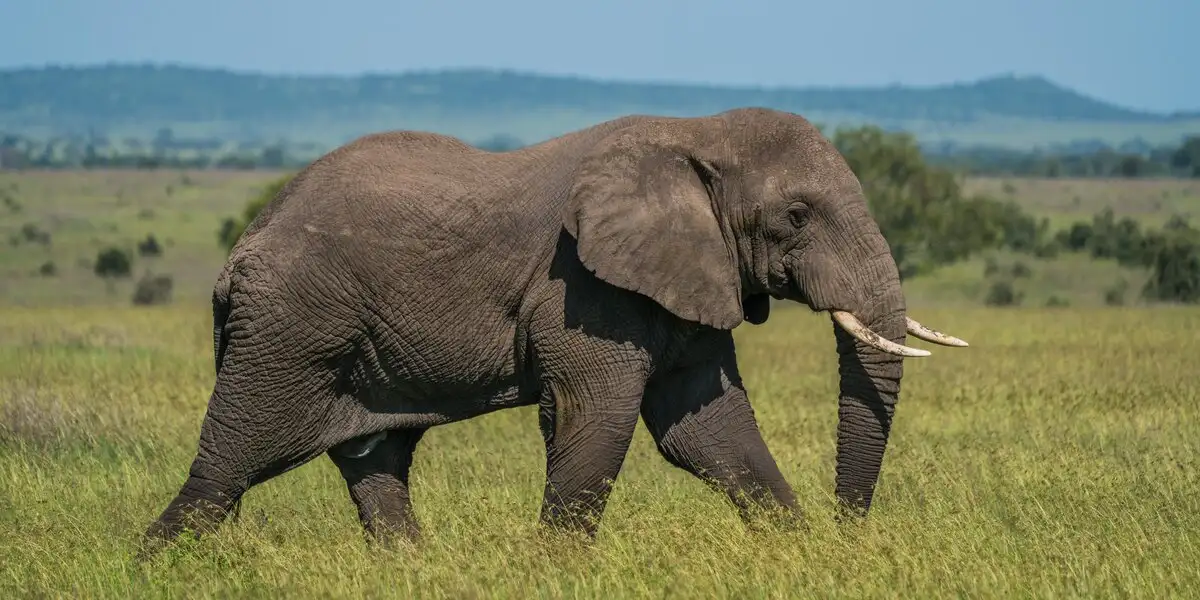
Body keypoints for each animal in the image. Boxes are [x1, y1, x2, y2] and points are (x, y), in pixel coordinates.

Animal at [138, 107, 967, 558]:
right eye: (796, 215)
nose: (849, 533)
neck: (692, 132)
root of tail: (239, 253)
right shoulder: (585, 288)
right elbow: (595, 418)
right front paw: (557, 570)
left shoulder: (688, 280)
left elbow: (708, 428)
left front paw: (800, 558)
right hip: (289, 328)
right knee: (228, 467)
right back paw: (155, 568)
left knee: (373, 460)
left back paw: (414, 569)